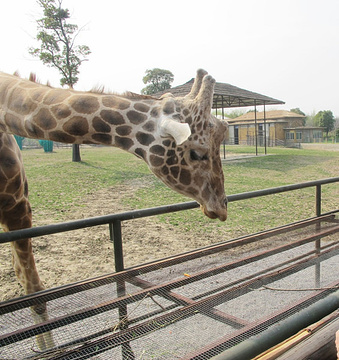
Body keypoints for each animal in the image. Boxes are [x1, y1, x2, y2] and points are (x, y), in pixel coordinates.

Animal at [0, 69, 228, 350]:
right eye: (197, 153)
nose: (222, 206)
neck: (5, 106)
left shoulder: (17, 207)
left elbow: (32, 288)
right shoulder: (18, 211)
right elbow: (34, 290)